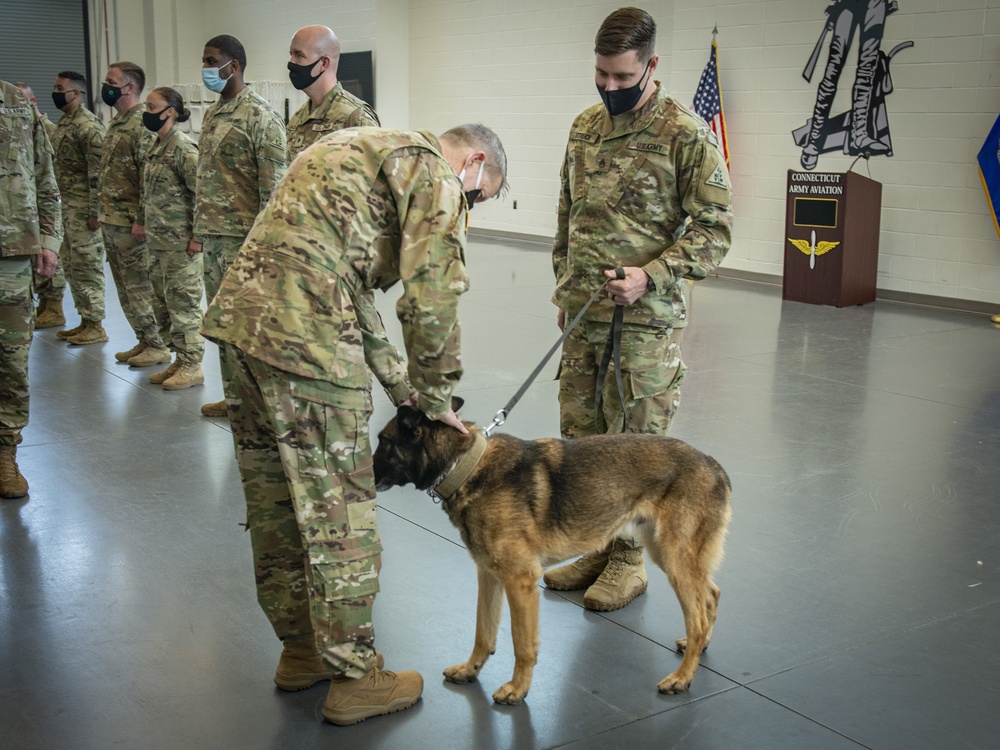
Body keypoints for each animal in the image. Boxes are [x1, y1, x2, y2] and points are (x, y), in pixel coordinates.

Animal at [372, 402, 732, 708]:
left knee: (699, 618)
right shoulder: (488, 576)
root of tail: (712, 463)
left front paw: (518, 689)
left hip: (674, 559)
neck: (467, 465)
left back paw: (683, 676)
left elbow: (522, 644)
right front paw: (470, 669)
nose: (364, 471)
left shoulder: (520, 583)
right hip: (669, 555)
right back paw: (699, 647)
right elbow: (483, 632)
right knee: (711, 595)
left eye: (382, 441)